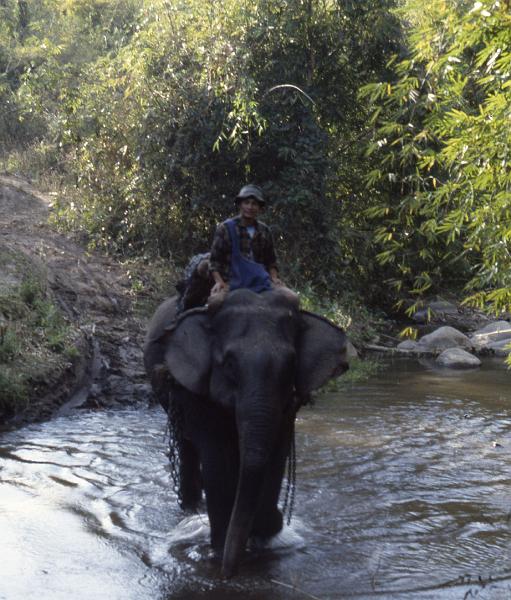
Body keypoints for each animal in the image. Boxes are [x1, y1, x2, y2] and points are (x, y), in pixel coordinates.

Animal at [146, 288, 350, 580]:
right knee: (187, 446)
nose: (227, 575)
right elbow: (217, 459)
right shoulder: (198, 390)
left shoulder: (288, 405)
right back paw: (192, 508)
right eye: (230, 364)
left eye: (291, 364)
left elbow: (275, 455)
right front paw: (221, 549)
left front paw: (265, 535)